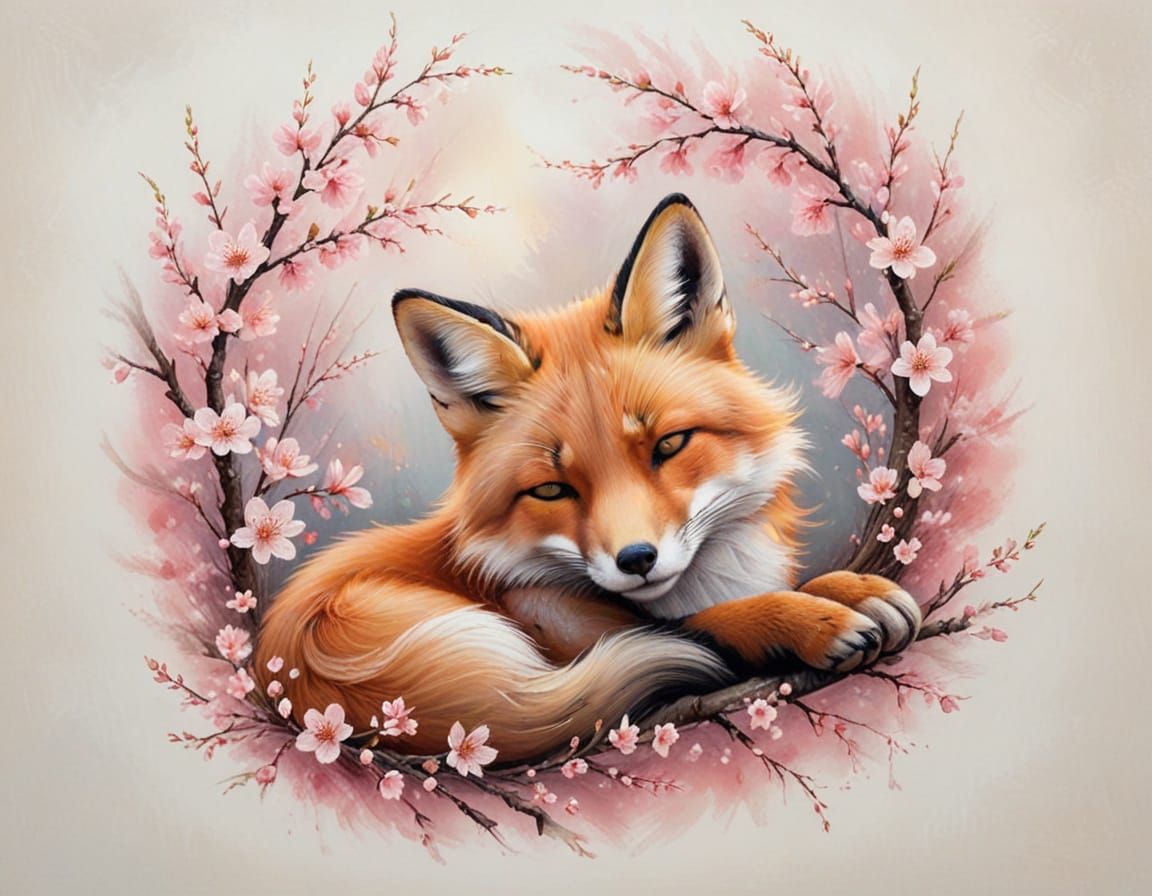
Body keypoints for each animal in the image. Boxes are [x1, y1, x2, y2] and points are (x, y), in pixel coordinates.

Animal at [254, 193, 921, 762]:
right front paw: (807, 619)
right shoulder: (558, 624)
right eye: (552, 489)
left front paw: (848, 587)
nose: (637, 559)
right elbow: (708, 624)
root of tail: (284, 672)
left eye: (669, 445)